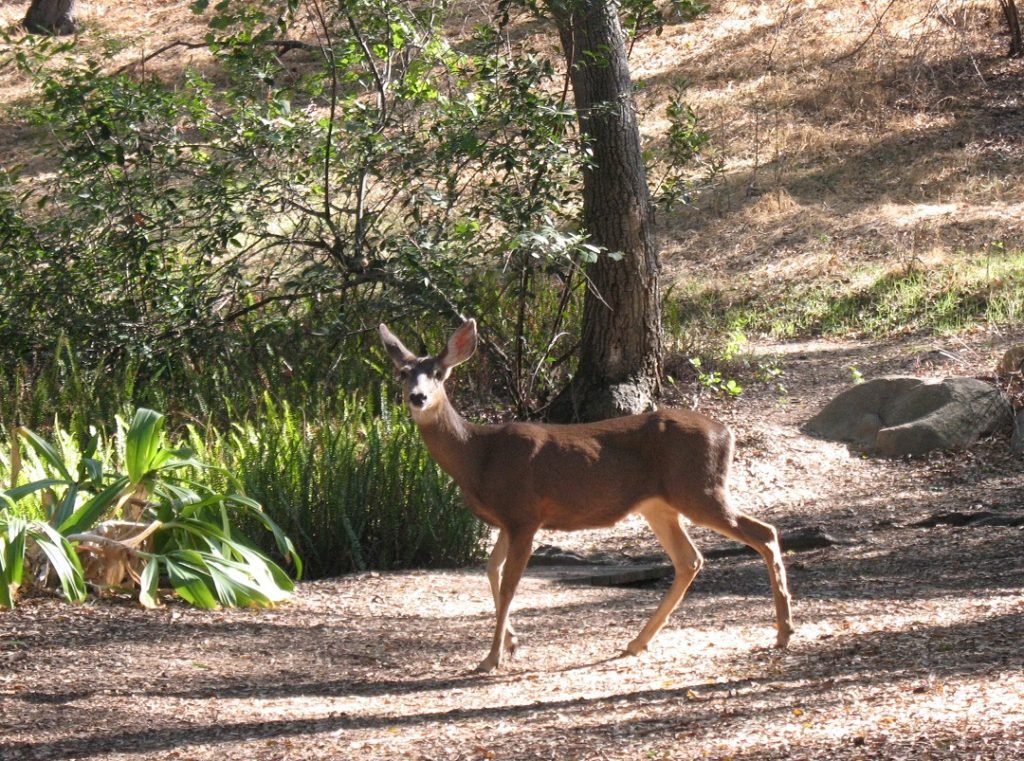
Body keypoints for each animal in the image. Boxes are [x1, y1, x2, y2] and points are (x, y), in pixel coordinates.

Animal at [379, 318, 794, 673]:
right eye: (403, 372)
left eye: (438, 373)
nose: (417, 397)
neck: (478, 456)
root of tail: (727, 433)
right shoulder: (506, 521)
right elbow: (492, 570)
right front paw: (511, 644)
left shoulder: (524, 513)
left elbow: (511, 583)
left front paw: (492, 657)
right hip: (660, 505)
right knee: (690, 558)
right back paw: (636, 642)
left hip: (700, 489)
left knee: (764, 533)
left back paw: (784, 632)